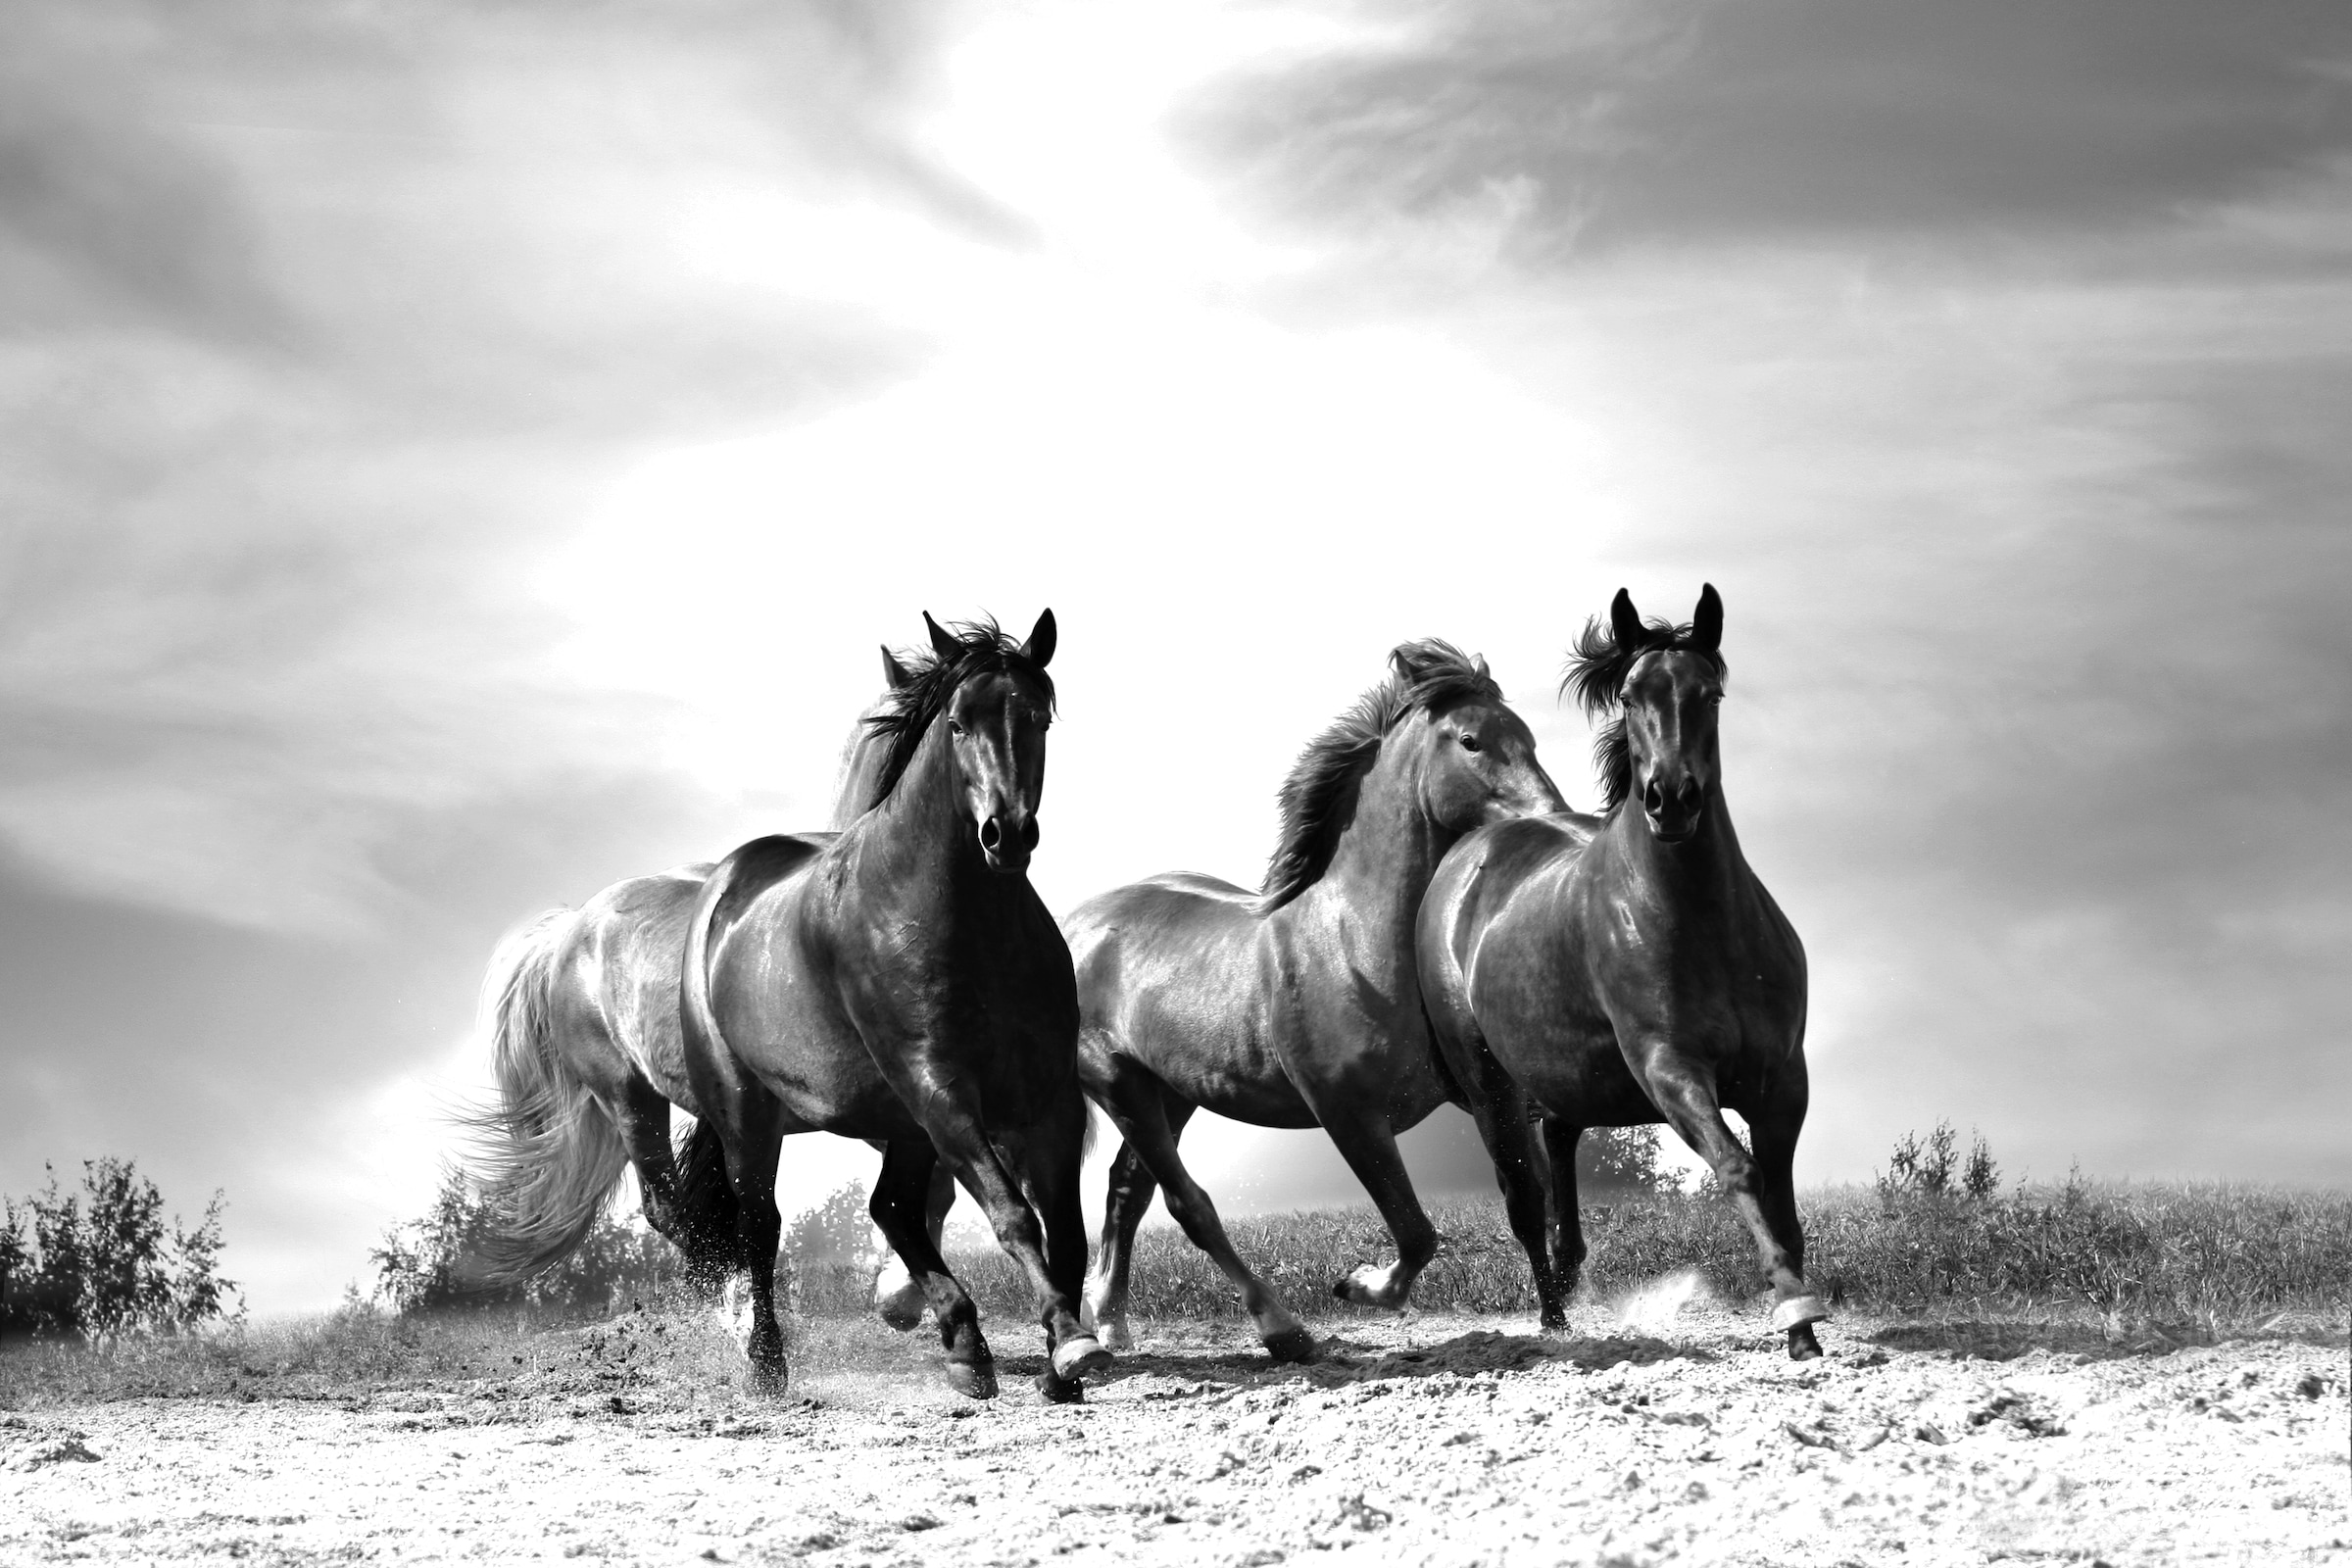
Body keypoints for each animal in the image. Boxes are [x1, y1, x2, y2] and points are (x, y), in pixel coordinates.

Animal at [677, 611, 1105, 1400]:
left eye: (1038, 717)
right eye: (958, 723)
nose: (1007, 833)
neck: (970, 925)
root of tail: (722, 889)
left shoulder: (1048, 1098)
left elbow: (1064, 1230)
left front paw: (1061, 1359)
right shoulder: (941, 1088)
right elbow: (1013, 1216)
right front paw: (1072, 1343)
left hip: (902, 1122)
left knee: (893, 1208)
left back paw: (966, 1347)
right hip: (751, 1115)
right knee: (762, 1224)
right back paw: (768, 1364)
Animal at [1062, 639, 1571, 1363]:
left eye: (1527, 736)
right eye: (1472, 740)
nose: (1551, 818)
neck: (1354, 943)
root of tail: (1077, 924)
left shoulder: (1482, 1092)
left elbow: (1525, 1195)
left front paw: (1557, 1317)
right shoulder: (1347, 1113)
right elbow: (1416, 1232)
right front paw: (1358, 1284)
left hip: (1171, 1094)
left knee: (1126, 1192)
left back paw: (1110, 1321)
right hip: (1121, 1086)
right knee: (1189, 1204)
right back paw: (1283, 1331)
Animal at [1401, 587, 1825, 1363]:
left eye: (1710, 693)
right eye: (1630, 696)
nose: (1670, 799)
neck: (1704, 925)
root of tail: (1469, 851)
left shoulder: (1784, 1079)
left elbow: (1781, 1197)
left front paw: (1804, 1324)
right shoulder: (1671, 1068)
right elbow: (1741, 1171)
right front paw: (1795, 1313)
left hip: (1563, 1077)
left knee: (1562, 1154)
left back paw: (1568, 1281)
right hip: (1488, 1085)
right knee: (1523, 1199)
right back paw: (1552, 1319)